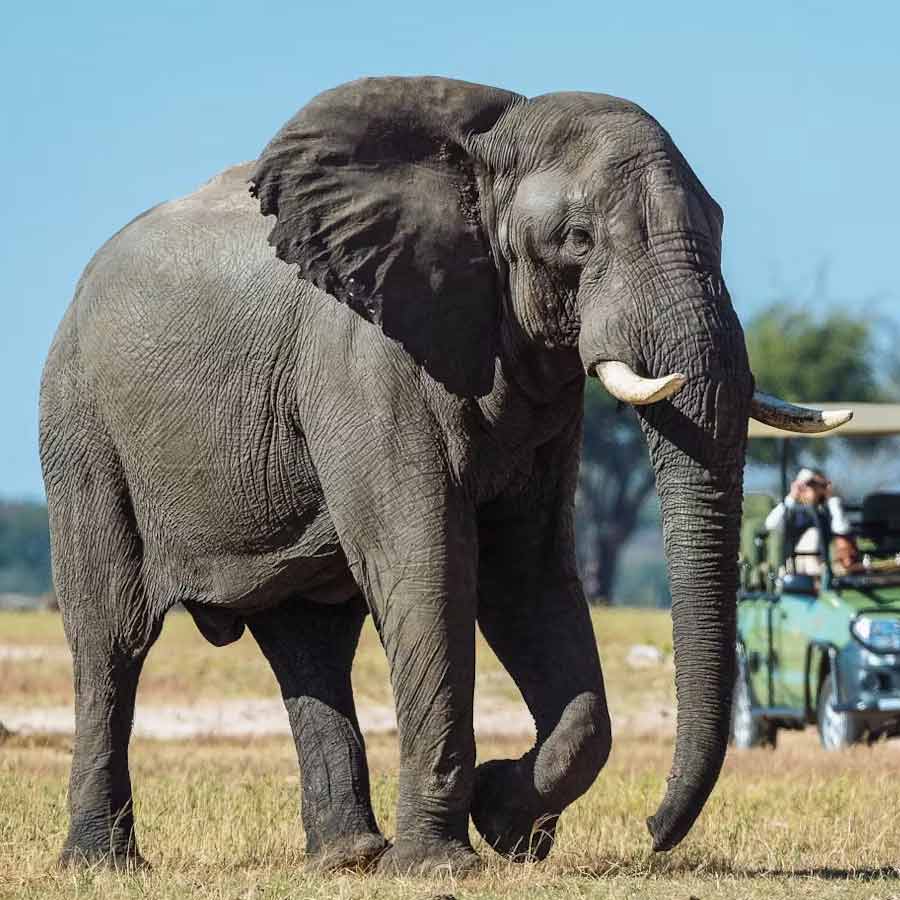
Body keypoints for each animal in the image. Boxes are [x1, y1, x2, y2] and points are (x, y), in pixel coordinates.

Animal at [39, 76, 846, 874]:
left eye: (719, 226)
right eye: (577, 240)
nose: (653, 830)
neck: (486, 147)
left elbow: (527, 573)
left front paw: (508, 821)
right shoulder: (363, 360)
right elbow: (431, 564)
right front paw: (442, 865)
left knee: (310, 642)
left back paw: (350, 858)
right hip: (81, 425)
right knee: (112, 635)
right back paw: (104, 864)